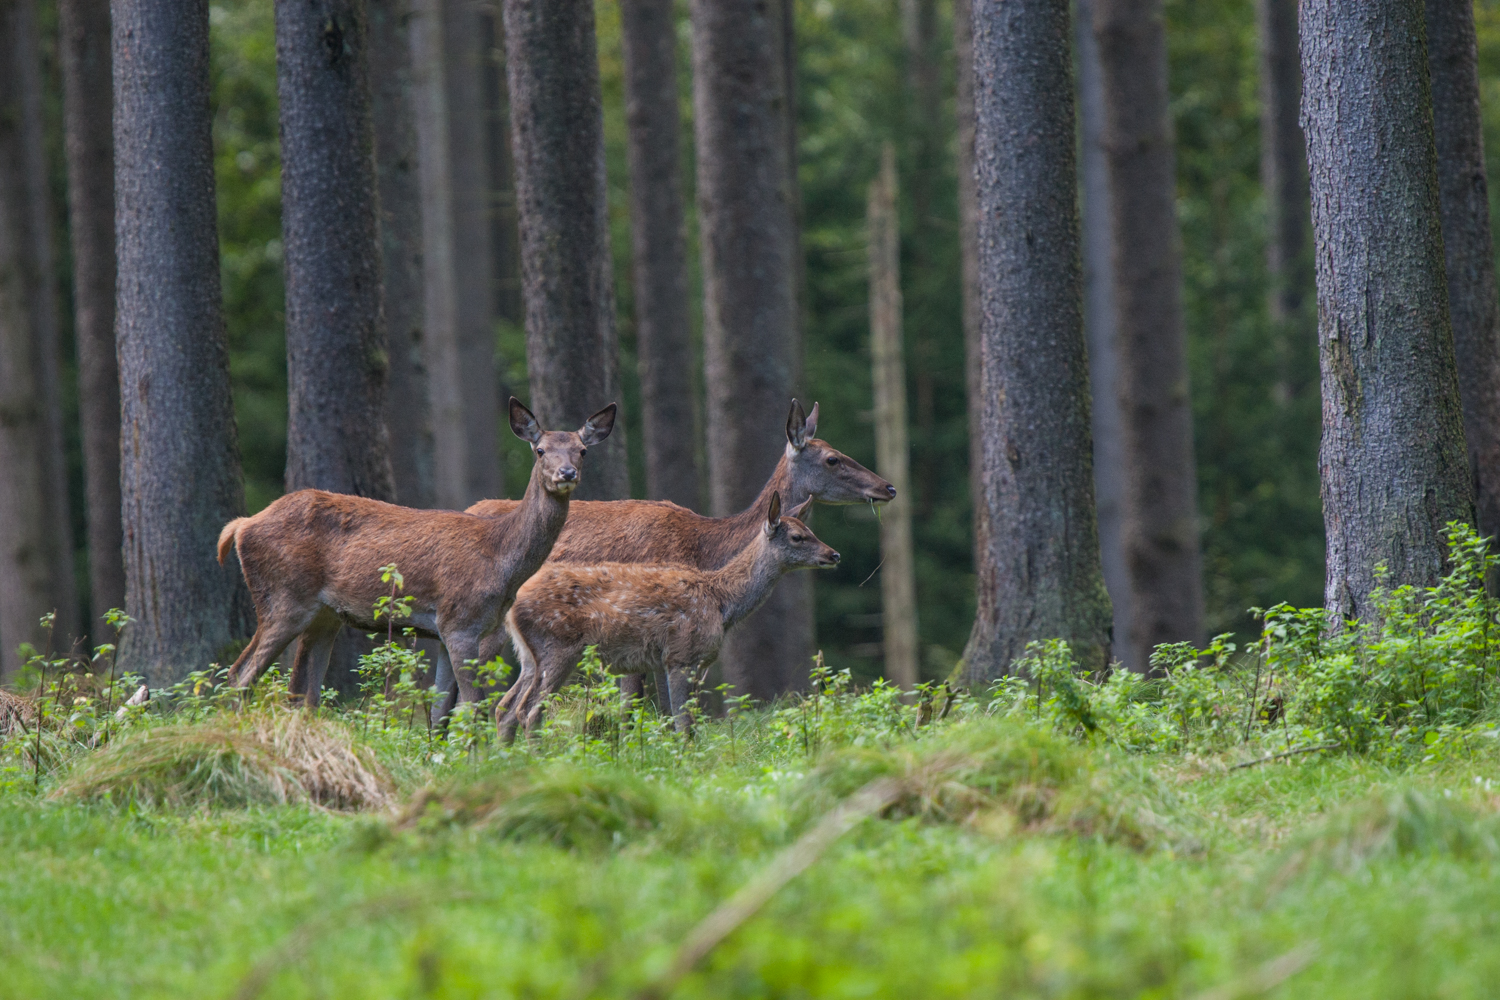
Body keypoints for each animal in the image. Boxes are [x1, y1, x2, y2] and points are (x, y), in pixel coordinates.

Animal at [217, 395, 615, 707]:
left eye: (581, 450)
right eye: (540, 449)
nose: (566, 473)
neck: (499, 560)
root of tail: (241, 526)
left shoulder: (450, 632)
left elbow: (440, 713)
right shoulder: (459, 622)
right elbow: (473, 707)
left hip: (325, 615)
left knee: (303, 692)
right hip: (284, 598)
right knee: (239, 675)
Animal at [498, 491, 840, 743]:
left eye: (812, 531)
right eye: (797, 537)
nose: (833, 554)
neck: (721, 602)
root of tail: (513, 607)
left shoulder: (686, 662)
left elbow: (685, 722)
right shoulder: (680, 655)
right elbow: (682, 723)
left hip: (528, 656)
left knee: (506, 708)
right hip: (559, 645)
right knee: (529, 712)